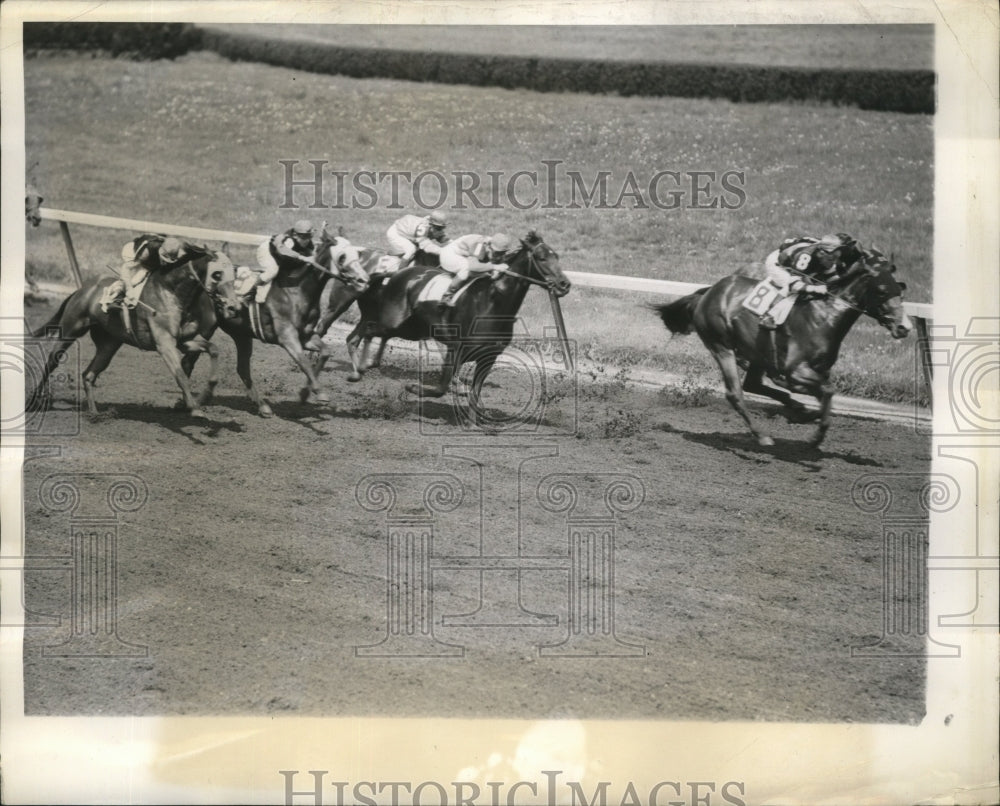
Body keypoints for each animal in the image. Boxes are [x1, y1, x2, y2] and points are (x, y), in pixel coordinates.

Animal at [27, 243, 242, 420]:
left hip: (109, 345)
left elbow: (213, 349)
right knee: (51, 362)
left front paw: (208, 392)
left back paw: (94, 413)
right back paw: (33, 401)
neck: (172, 293)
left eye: (234, 275)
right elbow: (180, 374)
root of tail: (82, 289)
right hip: (70, 331)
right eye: (217, 274)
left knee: (88, 374)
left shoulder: (182, 341)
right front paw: (194, 407)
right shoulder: (164, 344)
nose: (233, 307)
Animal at [214, 227, 368, 416]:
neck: (297, 292)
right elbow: (303, 361)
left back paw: (263, 407)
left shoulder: (305, 336)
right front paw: (320, 393)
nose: (363, 280)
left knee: (242, 368)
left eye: (357, 255)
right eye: (342, 257)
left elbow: (325, 352)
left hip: (241, 335)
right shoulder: (287, 337)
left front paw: (305, 393)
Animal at [346, 227, 568, 416]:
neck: (493, 303)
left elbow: (475, 393)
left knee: (372, 333)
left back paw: (368, 364)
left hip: (411, 329)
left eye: (557, 256)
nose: (565, 284)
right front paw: (413, 386)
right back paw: (359, 370)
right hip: (393, 321)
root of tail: (397, 273)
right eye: (541, 257)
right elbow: (441, 388)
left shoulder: (489, 357)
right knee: (367, 330)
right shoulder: (456, 349)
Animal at [656, 254, 916, 448]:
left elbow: (823, 394)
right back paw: (763, 436)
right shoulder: (796, 370)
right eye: (881, 290)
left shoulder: (817, 370)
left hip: (756, 352)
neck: (824, 316)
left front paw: (806, 413)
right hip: (721, 346)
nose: (904, 327)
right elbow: (828, 391)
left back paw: (797, 409)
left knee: (753, 385)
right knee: (736, 393)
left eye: (900, 290)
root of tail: (710, 291)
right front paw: (816, 437)